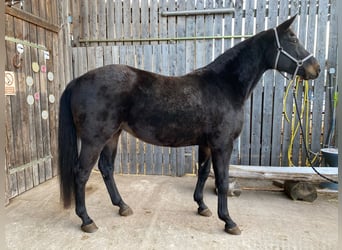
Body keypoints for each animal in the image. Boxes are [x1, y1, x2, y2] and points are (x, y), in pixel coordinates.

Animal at [58, 15, 320, 234]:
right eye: (292, 38)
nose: (315, 68)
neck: (225, 86)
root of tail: (77, 80)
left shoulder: (206, 144)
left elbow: (203, 173)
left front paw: (202, 207)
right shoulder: (222, 145)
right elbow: (222, 180)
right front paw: (228, 221)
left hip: (113, 135)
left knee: (106, 169)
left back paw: (122, 206)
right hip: (94, 139)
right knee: (81, 173)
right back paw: (87, 220)